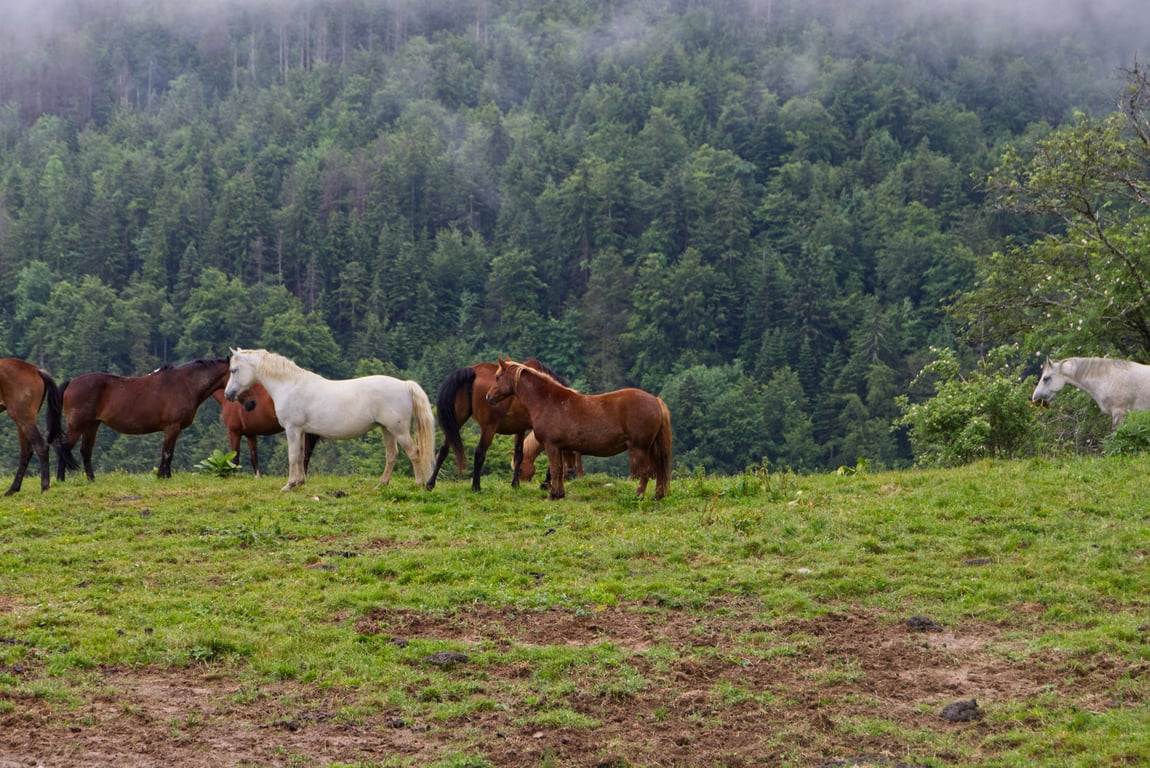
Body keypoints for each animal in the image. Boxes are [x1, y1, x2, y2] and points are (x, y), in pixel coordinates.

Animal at [0, 358, 68, 495]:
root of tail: (37, 370)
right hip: (22, 420)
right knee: (26, 452)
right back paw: (12, 489)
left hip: (24, 418)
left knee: (41, 446)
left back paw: (44, 487)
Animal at [56, 358, 230, 481]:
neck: (185, 384)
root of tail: (71, 382)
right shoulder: (172, 427)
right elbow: (167, 453)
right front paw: (162, 476)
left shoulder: (174, 429)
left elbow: (169, 452)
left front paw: (166, 476)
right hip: (77, 425)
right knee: (63, 447)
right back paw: (60, 479)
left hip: (92, 425)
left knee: (85, 450)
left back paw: (91, 479)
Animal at [224, 348, 435, 491]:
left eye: (234, 370)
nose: (228, 394)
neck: (290, 385)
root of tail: (405, 385)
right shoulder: (301, 431)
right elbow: (301, 455)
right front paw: (299, 482)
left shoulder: (292, 429)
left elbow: (293, 456)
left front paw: (289, 485)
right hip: (386, 429)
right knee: (392, 455)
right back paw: (381, 485)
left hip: (398, 430)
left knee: (414, 453)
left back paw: (419, 483)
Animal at [425, 358, 570, 491]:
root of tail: (473, 370)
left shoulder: (520, 429)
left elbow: (519, 455)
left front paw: (515, 484)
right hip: (488, 428)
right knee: (479, 453)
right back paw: (476, 486)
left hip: (457, 420)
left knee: (443, 449)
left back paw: (430, 483)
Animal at [485, 357, 672, 500]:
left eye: (497, 377)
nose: (488, 397)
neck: (548, 401)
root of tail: (655, 400)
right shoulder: (562, 448)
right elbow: (561, 470)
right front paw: (559, 494)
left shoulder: (551, 446)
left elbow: (555, 469)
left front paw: (553, 495)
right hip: (651, 447)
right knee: (659, 470)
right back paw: (658, 496)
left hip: (640, 448)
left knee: (646, 472)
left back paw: (638, 496)